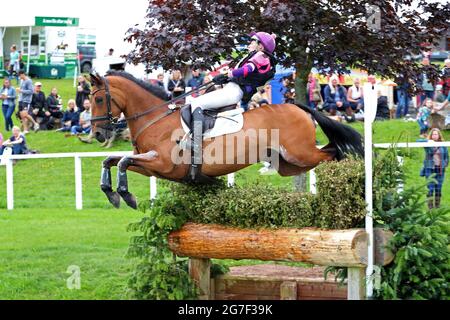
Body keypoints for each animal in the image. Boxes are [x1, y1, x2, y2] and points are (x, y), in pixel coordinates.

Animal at [89, 71, 364, 209]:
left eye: (99, 99)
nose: (98, 134)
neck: (155, 119)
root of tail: (299, 106)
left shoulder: (162, 163)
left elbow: (122, 161)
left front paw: (125, 195)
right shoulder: (151, 167)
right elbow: (111, 160)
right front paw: (112, 194)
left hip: (300, 153)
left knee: (333, 153)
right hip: (289, 164)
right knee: (328, 152)